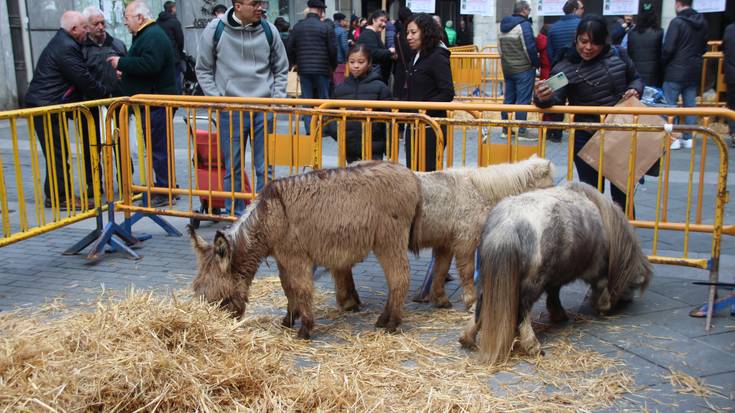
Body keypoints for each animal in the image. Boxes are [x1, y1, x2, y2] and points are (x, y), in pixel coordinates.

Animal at [187, 161, 422, 338]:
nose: (214, 326)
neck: (269, 215)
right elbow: (288, 288)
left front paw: (305, 328)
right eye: (197, 289)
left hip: (389, 240)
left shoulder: (296, 257)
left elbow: (302, 288)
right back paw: (384, 319)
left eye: (214, 296)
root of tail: (409, 174)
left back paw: (391, 323)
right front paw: (289, 319)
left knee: (399, 277)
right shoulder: (283, 258)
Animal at [414, 156, 556, 308]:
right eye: (547, 187)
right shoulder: (466, 241)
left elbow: (441, 269)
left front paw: (441, 299)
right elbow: (467, 271)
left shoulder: (445, 243)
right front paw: (471, 301)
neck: (477, 191)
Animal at [462, 182, 652, 362]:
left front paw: (558, 314)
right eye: (634, 285)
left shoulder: (555, 276)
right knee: (522, 312)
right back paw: (533, 346)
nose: (628, 300)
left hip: (488, 281)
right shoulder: (598, 269)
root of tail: (507, 225)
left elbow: (554, 292)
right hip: (531, 283)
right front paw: (603, 306)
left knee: (481, 306)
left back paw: (467, 338)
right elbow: (602, 285)